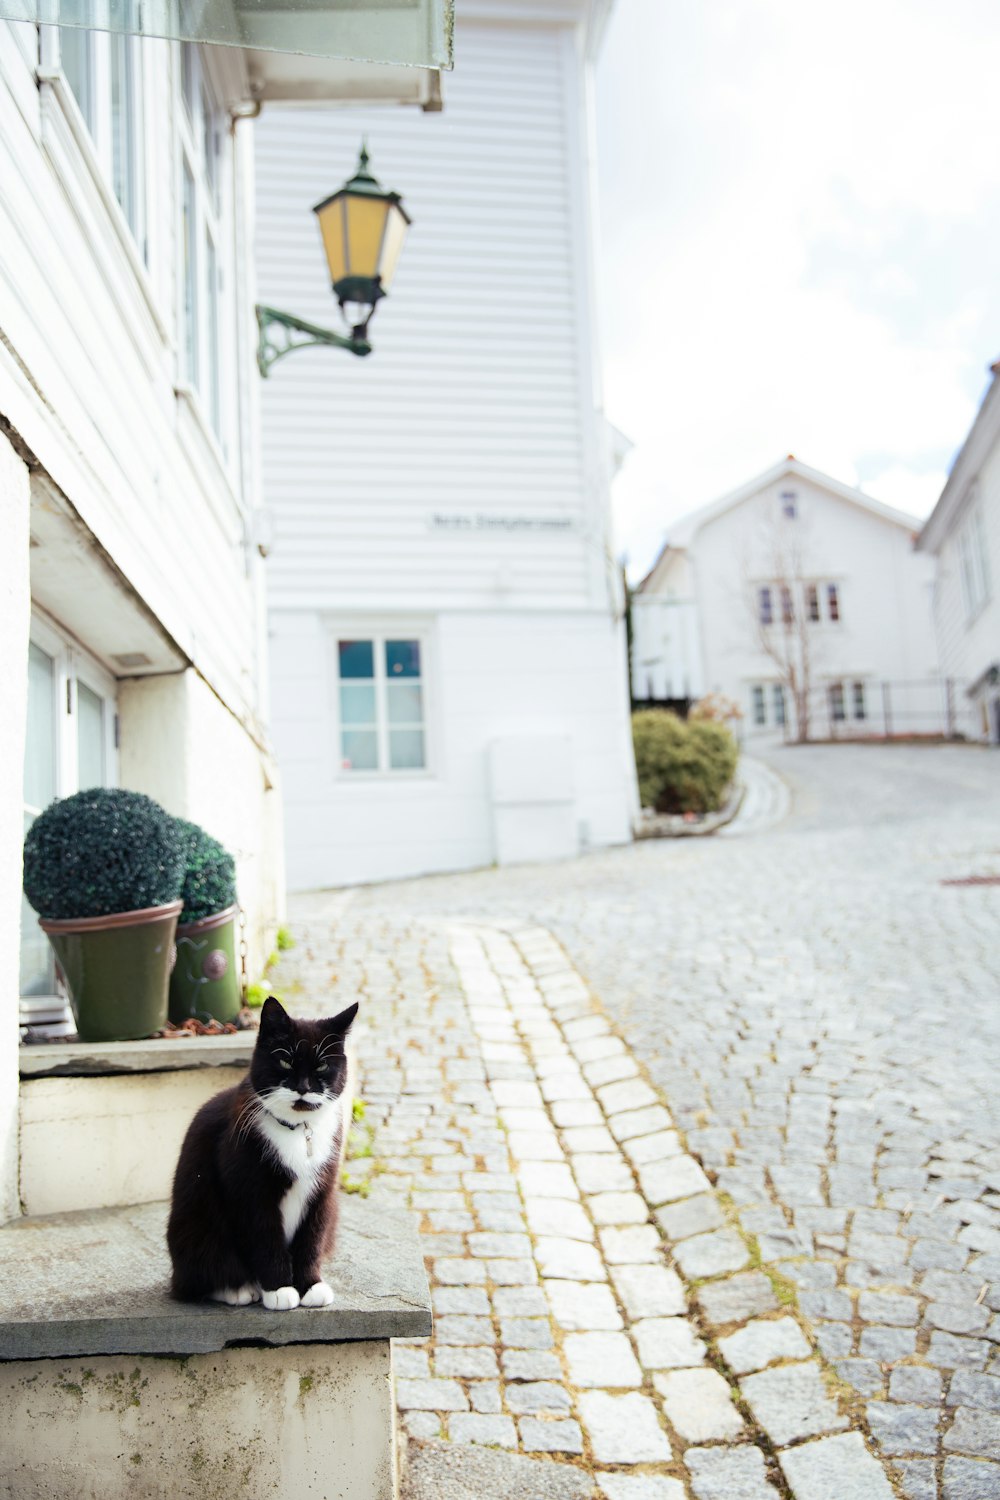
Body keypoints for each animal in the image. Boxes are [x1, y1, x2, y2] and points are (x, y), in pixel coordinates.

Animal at [167, 996, 359, 1314]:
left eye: (322, 1065)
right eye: (284, 1061)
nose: (303, 1088)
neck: (297, 1130)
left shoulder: (323, 1191)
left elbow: (312, 1238)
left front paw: (310, 1285)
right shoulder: (251, 1192)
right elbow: (265, 1240)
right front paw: (279, 1289)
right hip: (197, 1230)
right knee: (197, 1279)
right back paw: (238, 1290)